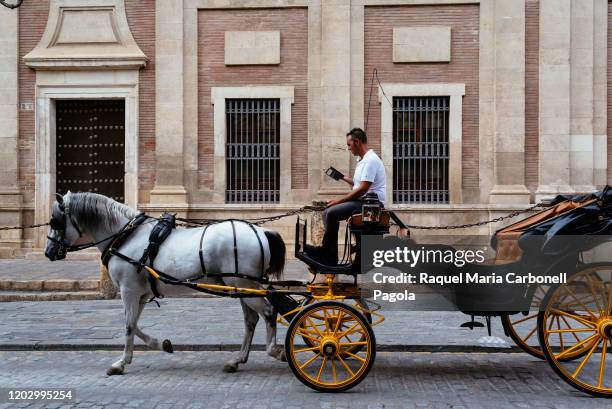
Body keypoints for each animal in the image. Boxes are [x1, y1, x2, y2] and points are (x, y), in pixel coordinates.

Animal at [44, 193, 288, 374]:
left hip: (244, 286)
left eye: (55, 221)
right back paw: (238, 359)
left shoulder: (128, 291)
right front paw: (160, 344)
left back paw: (274, 350)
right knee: (251, 320)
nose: (48, 252)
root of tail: (261, 231)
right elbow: (135, 324)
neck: (125, 236)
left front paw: (121, 363)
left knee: (268, 311)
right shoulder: (141, 294)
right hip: (241, 287)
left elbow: (129, 325)